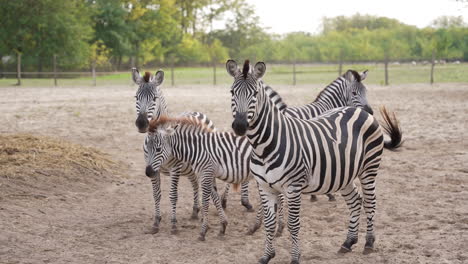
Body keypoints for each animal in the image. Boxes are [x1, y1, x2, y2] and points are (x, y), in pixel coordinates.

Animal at [132, 68, 254, 233]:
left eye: (154, 98)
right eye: (136, 97)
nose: (141, 123)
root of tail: (196, 111)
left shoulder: (175, 169)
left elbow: (173, 195)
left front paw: (174, 224)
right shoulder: (152, 169)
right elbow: (156, 195)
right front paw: (156, 222)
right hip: (191, 168)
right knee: (196, 184)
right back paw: (197, 211)